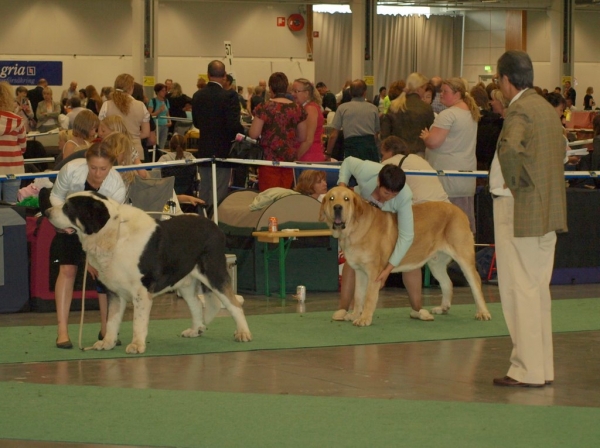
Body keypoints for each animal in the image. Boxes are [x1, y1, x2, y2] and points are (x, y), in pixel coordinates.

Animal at [45, 192, 251, 354]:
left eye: (68, 208)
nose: (46, 212)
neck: (113, 235)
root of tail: (214, 226)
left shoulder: (141, 291)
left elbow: (138, 321)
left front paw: (136, 345)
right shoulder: (114, 292)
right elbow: (111, 320)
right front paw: (107, 343)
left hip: (214, 273)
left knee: (233, 304)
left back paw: (243, 333)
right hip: (184, 283)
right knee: (196, 305)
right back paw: (195, 330)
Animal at [322, 186, 490, 326]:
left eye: (346, 199)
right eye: (331, 198)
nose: (337, 207)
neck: (354, 229)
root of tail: (458, 210)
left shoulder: (374, 273)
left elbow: (369, 297)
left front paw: (364, 319)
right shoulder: (360, 272)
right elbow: (358, 296)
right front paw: (355, 315)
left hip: (464, 258)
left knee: (476, 283)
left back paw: (483, 312)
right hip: (436, 263)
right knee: (447, 283)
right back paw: (442, 308)